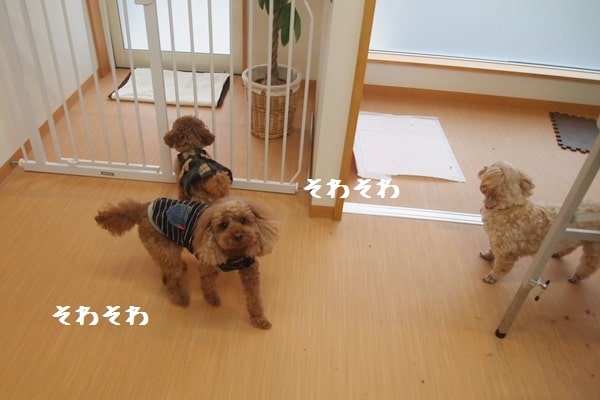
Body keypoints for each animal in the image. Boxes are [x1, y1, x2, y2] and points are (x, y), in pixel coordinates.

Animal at [95, 196, 279, 329]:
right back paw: (180, 298)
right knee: (170, 279)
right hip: (165, 250)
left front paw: (259, 319)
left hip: (170, 249)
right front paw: (212, 300)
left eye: (244, 220)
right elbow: (208, 286)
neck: (234, 254)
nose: (239, 236)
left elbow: (254, 299)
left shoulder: (250, 272)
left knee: (167, 270)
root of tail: (142, 208)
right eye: (224, 225)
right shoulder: (207, 266)